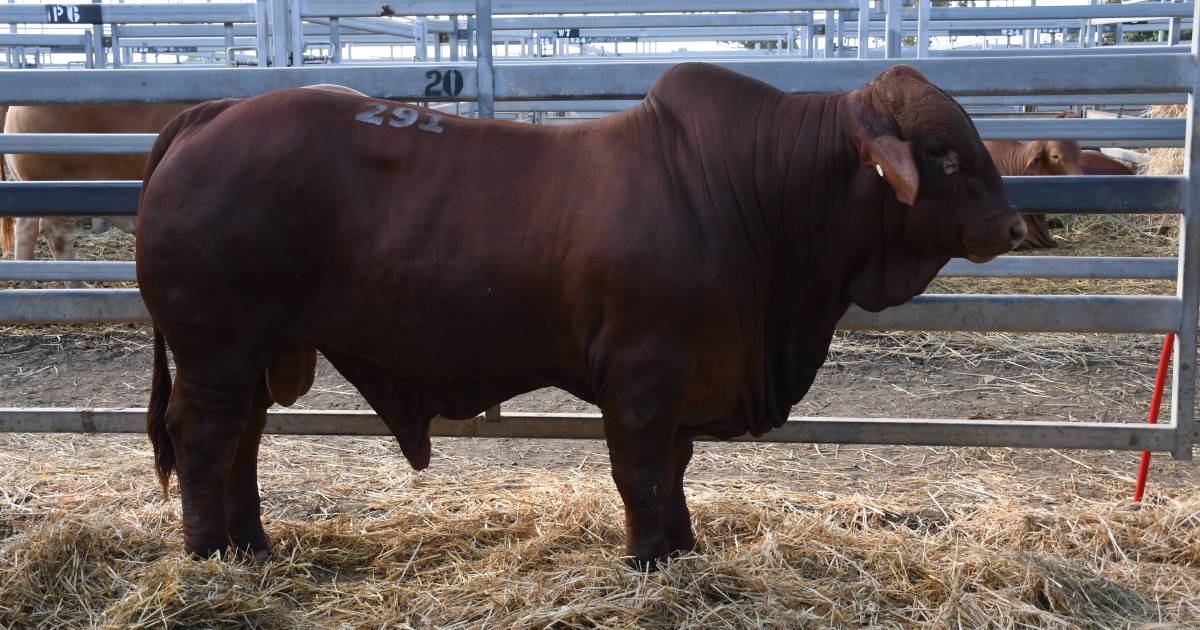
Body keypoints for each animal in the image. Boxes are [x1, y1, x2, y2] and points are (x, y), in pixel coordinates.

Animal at [138, 63, 1022, 564]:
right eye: (942, 154)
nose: (1013, 226)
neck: (756, 192)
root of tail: (209, 115)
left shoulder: (687, 381)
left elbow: (675, 470)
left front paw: (683, 552)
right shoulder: (643, 375)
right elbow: (641, 473)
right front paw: (646, 561)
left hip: (253, 353)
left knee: (243, 439)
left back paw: (254, 547)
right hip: (215, 349)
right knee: (204, 437)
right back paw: (209, 555)